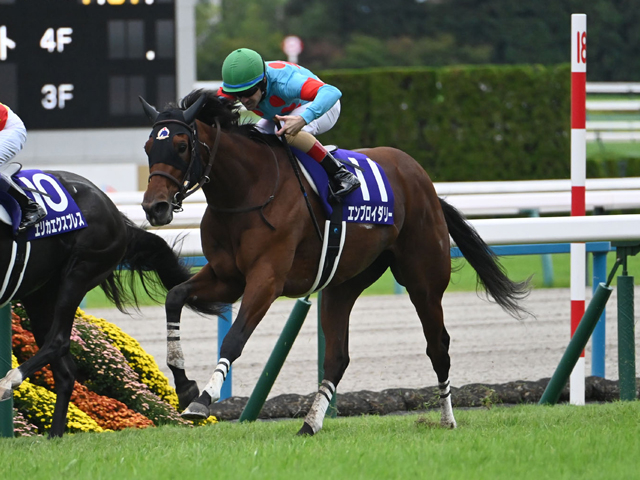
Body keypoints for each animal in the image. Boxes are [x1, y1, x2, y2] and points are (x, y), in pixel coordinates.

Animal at [0, 169, 221, 438]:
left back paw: (9, 383)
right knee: (64, 369)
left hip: (80, 271)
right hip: (40, 291)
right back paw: (54, 435)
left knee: (58, 342)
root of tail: (114, 212)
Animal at [139, 90, 530, 435]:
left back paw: (447, 420)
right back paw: (310, 424)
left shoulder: (266, 280)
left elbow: (234, 339)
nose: (154, 207)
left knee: (438, 346)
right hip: (342, 285)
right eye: (148, 147)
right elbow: (175, 297)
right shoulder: (227, 277)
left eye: (181, 145)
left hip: (424, 283)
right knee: (337, 358)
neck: (247, 191)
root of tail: (424, 182)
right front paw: (184, 385)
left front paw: (203, 398)